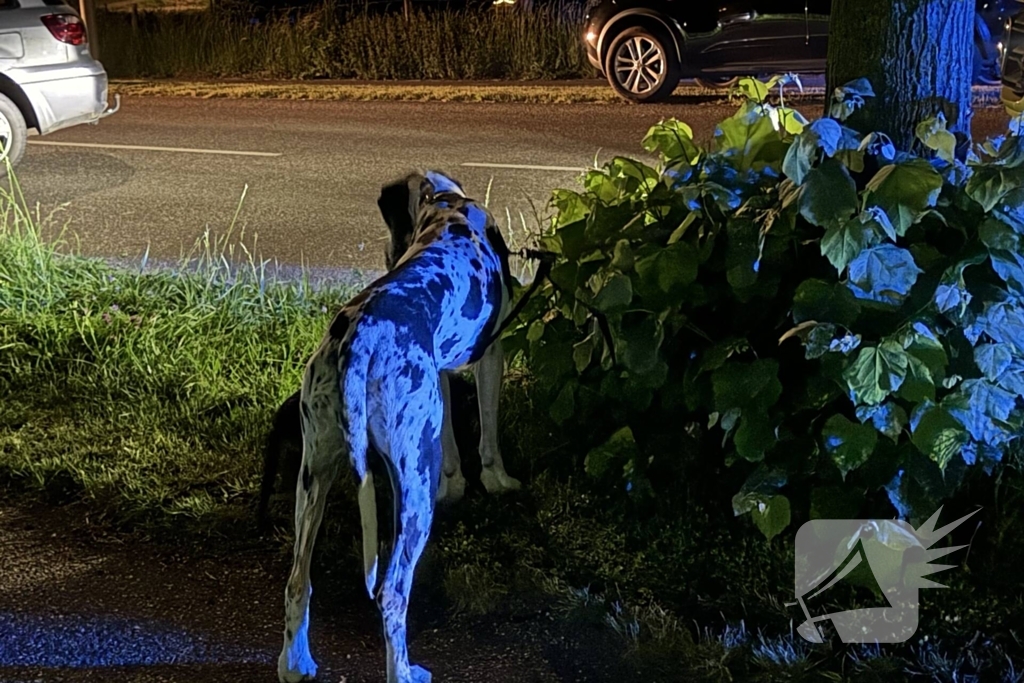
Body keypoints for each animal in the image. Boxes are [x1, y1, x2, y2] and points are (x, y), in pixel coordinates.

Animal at [278, 167, 520, 679]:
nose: (389, 258)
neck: (446, 207)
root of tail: (359, 342)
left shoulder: (441, 375)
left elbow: (452, 448)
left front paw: (458, 484)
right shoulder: (491, 353)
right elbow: (488, 436)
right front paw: (499, 481)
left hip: (315, 478)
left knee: (297, 580)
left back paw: (296, 663)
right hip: (411, 494)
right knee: (391, 593)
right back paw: (405, 671)